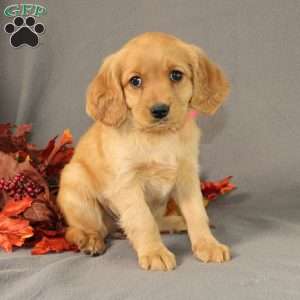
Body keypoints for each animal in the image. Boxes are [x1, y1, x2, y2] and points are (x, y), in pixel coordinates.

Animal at [58, 31, 230, 270]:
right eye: (135, 81)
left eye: (176, 75)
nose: (159, 110)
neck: (160, 137)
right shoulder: (127, 183)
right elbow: (143, 220)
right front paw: (154, 252)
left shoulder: (187, 176)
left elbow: (196, 212)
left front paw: (208, 244)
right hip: (75, 183)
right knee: (77, 230)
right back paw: (90, 240)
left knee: (158, 220)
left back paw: (176, 222)